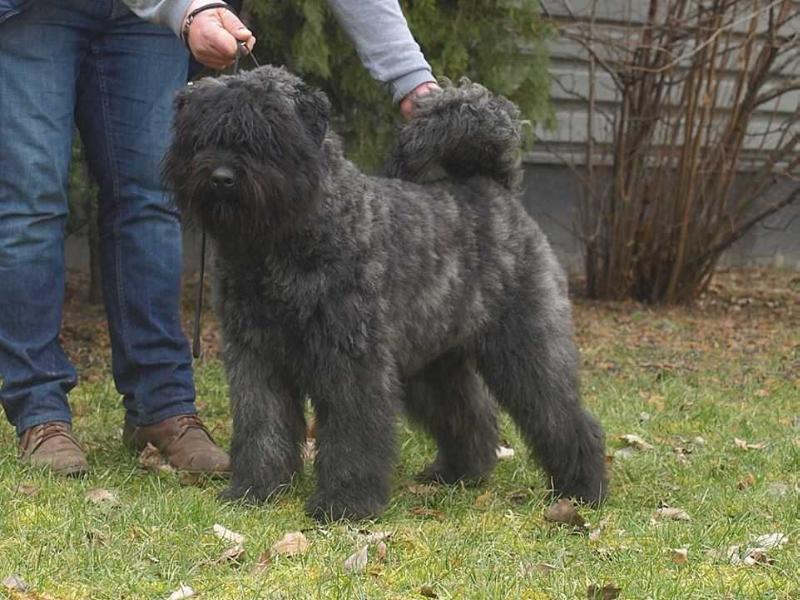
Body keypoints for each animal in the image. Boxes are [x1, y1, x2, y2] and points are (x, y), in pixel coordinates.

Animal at [164, 65, 608, 520]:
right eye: (203, 135)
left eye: (268, 134)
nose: (221, 177)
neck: (281, 241)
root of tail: (494, 188)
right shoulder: (255, 357)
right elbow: (261, 426)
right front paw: (254, 490)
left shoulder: (351, 360)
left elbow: (352, 435)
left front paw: (344, 504)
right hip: (434, 364)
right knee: (470, 414)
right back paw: (459, 473)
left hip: (525, 344)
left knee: (559, 414)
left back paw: (582, 489)